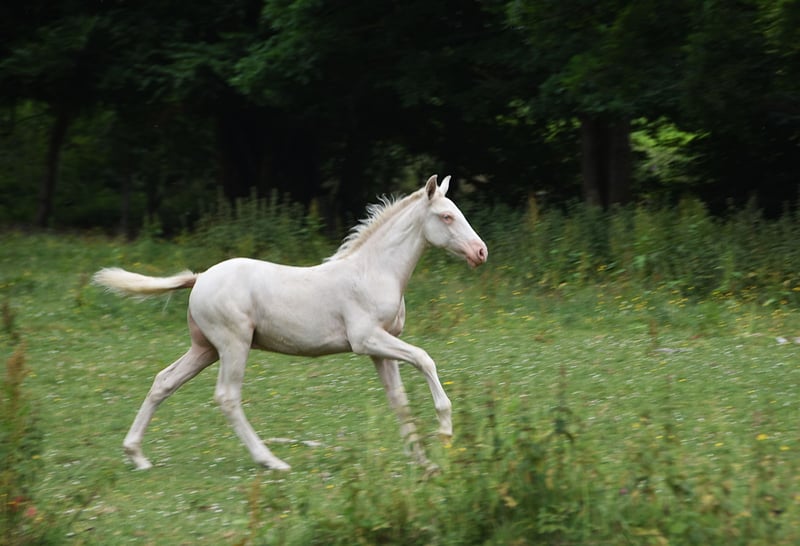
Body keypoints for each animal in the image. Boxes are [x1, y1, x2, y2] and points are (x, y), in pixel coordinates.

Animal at [93, 175, 488, 471]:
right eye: (447, 217)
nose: (480, 252)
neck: (374, 271)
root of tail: (200, 277)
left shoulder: (380, 350)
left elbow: (400, 401)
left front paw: (425, 463)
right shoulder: (366, 340)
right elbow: (425, 358)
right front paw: (445, 431)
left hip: (205, 349)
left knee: (164, 381)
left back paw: (137, 455)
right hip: (234, 345)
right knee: (227, 397)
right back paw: (271, 461)